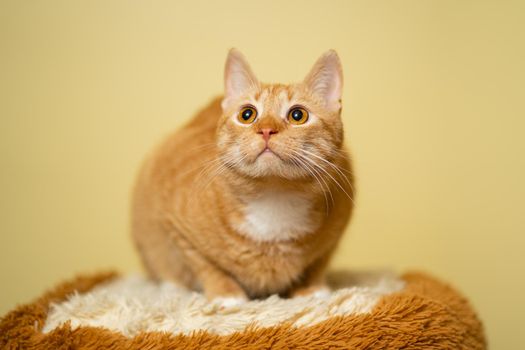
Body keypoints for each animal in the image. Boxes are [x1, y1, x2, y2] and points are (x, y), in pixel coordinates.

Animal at [131, 49, 354, 304]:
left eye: (298, 115)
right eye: (247, 114)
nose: (266, 130)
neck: (274, 198)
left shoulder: (338, 225)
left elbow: (319, 261)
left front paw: (311, 289)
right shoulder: (172, 223)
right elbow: (203, 263)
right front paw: (226, 293)